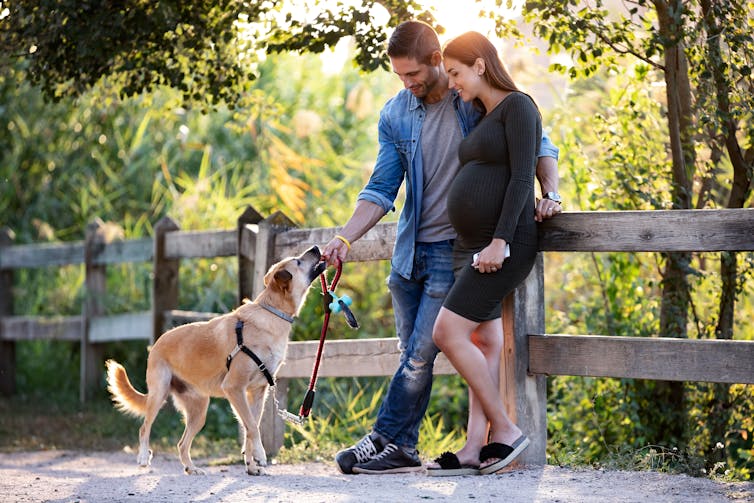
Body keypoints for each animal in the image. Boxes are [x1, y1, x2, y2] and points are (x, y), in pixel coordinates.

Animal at [106, 248, 326, 476]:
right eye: (298, 261)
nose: (316, 248)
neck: (271, 312)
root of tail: (158, 342)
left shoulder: (257, 391)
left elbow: (251, 427)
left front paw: (251, 465)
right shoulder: (234, 388)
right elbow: (252, 427)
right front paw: (260, 456)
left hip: (199, 410)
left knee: (182, 444)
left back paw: (191, 467)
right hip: (159, 394)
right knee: (144, 428)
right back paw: (143, 457)